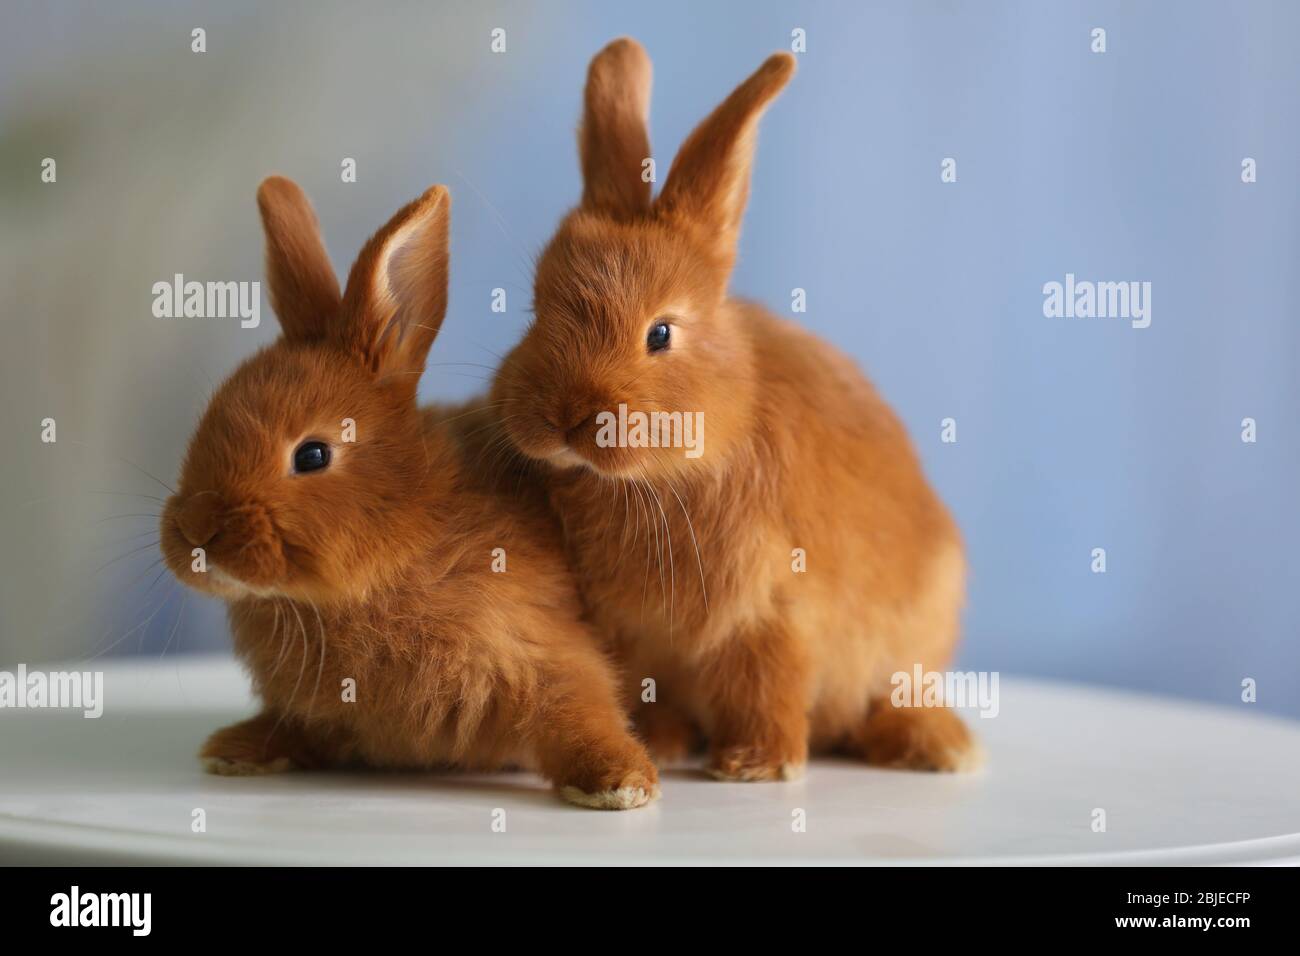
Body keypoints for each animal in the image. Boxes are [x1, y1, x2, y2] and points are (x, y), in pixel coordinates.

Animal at [158, 175, 659, 810]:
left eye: (312, 455)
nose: (196, 530)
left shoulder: (539, 648)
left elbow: (576, 705)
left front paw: (620, 783)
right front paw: (237, 749)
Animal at [489, 38, 981, 781]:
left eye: (660, 333)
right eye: (535, 308)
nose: (565, 417)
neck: (662, 476)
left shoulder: (773, 612)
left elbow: (767, 686)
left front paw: (756, 766)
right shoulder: (636, 640)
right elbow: (652, 692)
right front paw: (661, 744)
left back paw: (942, 746)